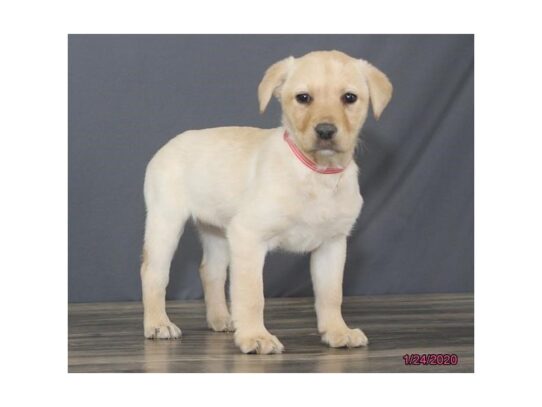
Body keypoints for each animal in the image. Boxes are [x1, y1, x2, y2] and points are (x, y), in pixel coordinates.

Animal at [142, 49, 394, 354]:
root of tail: (170, 143)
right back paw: (158, 324)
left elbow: (332, 293)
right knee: (153, 272)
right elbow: (252, 294)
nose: (325, 131)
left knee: (210, 271)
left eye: (349, 98)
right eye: (303, 98)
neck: (316, 174)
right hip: (166, 222)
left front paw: (337, 331)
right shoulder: (249, 236)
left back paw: (221, 319)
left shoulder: (332, 244)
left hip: (218, 231)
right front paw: (255, 337)